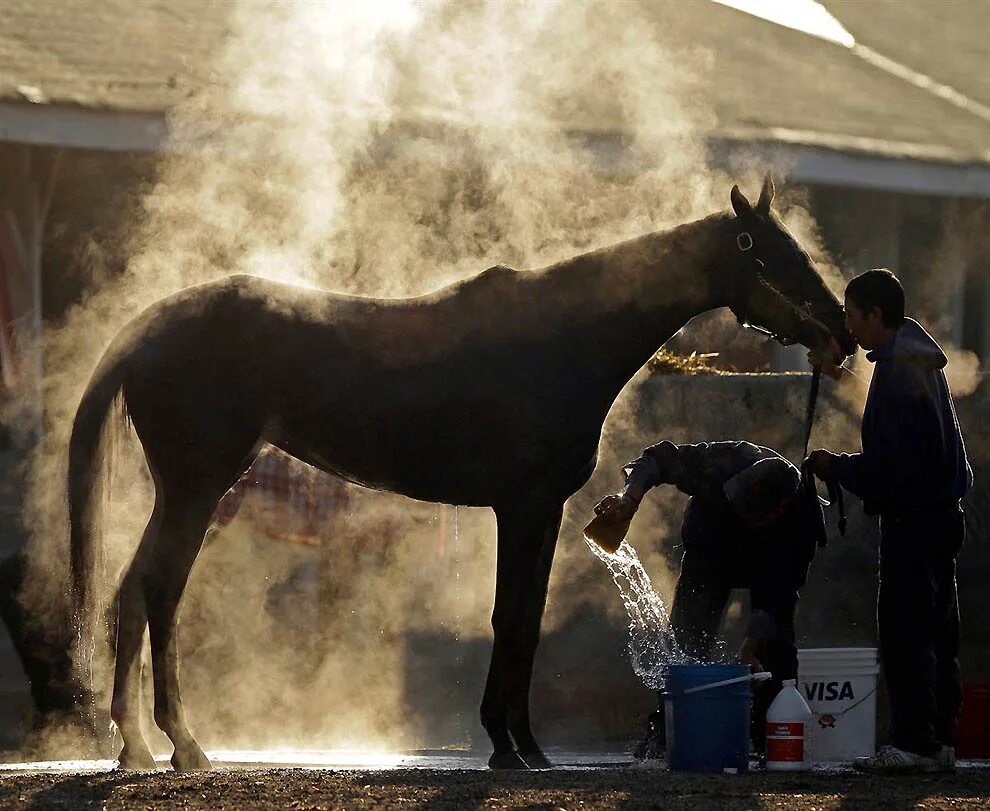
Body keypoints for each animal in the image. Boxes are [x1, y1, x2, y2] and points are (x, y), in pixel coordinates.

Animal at [68, 174, 852, 772]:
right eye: (775, 254)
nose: (841, 333)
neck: (564, 340)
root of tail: (149, 326)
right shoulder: (523, 506)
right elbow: (510, 617)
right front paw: (505, 744)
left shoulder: (544, 511)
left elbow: (527, 620)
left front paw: (527, 746)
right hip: (197, 488)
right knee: (161, 591)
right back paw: (184, 745)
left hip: (182, 494)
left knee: (130, 590)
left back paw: (134, 745)